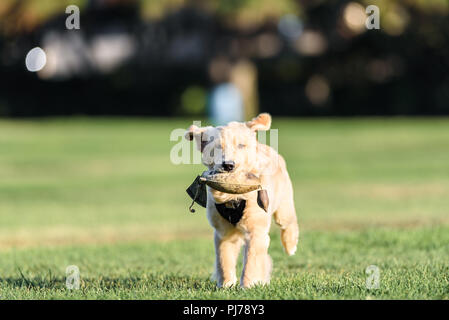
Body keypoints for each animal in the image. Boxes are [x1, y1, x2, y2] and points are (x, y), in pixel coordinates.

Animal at [186, 114, 298, 288]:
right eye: (217, 147)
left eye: (240, 145)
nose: (228, 165)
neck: (232, 197)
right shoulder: (223, 233)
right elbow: (224, 260)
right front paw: (225, 285)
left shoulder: (256, 230)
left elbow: (251, 261)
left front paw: (247, 285)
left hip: (284, 206)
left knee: (289, 223)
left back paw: (290, 245)